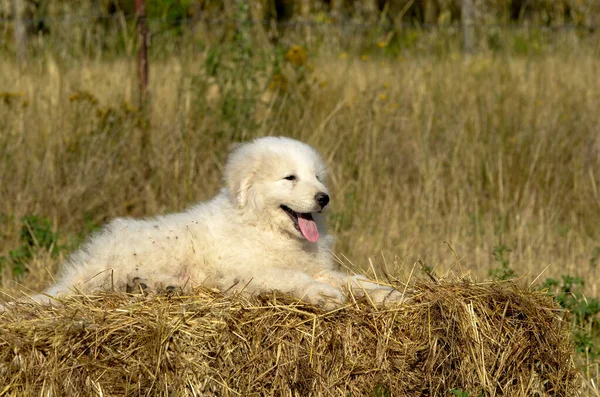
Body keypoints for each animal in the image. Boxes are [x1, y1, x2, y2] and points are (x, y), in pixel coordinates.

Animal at [27, 138, 404, 308]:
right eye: (290, 178)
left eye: (317, 177)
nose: (324, 198)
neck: (262, 225)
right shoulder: (250, 270)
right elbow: (291, 278)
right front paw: (323, 295)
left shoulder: (316, 266)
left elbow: (350, 279)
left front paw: (385, 293)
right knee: (108, 284)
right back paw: (148, 285)